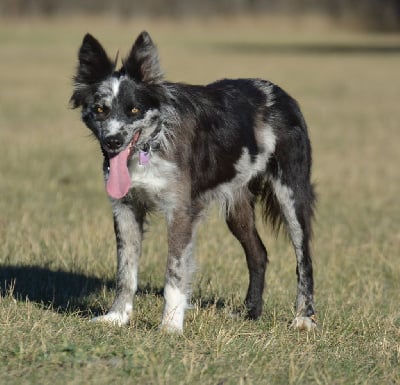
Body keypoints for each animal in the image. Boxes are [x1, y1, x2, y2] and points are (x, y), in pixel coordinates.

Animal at [71, 31, 316, 332]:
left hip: (291, 196)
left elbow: (174, 272)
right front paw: (117, 316)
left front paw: (170, 325)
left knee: (304, 259)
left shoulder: (180, 212)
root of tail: (280, 94)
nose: (113, 141)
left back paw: (304, 318)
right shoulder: (125, 208)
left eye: (134, 109)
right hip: (237, 207)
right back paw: (251, 312)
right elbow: (125, 271)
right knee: (258, 253)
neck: (153, 142)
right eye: (100, 109)